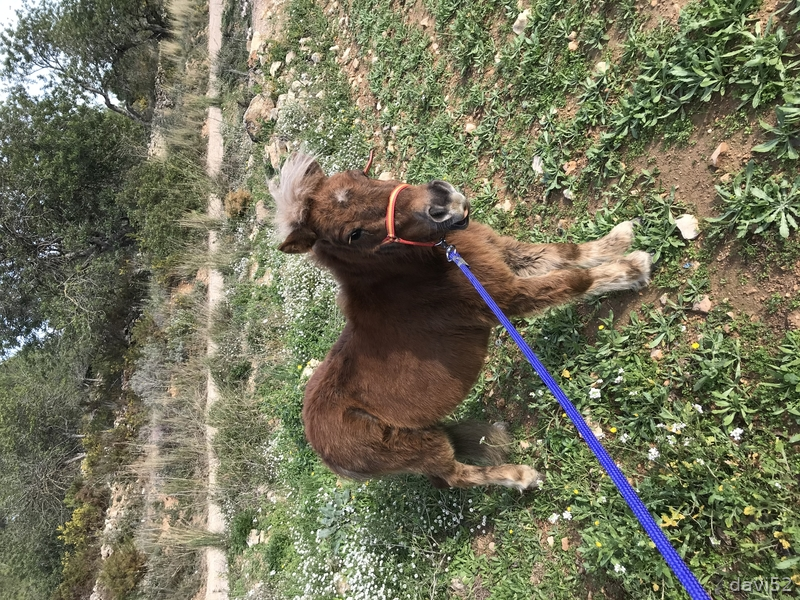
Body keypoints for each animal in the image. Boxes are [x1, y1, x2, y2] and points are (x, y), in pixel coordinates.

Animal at [270, 152, 651, 490]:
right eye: (353, 235)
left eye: (361, 174)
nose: (443, 201)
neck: (418, 270)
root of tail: (324, 451)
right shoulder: (504, 297)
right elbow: (573, 281)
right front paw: (632, 268)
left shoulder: (501, 255)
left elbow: (565, 253)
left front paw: (621, 237)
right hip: (417, 448)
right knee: (453, 478)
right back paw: (521, 477)